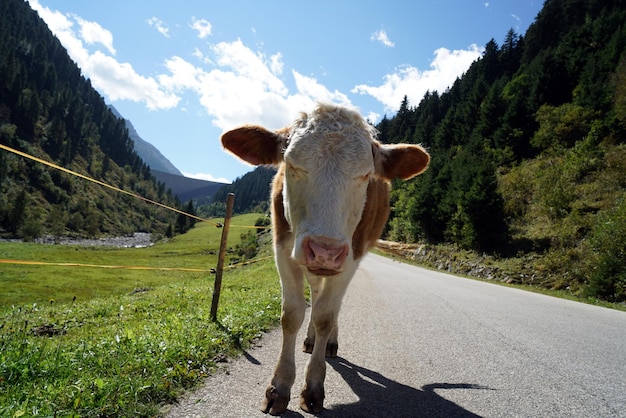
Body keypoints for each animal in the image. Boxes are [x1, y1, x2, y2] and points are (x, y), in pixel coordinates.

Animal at [219, 103, 428, 414]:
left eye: (365, 175)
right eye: (291, 165)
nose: (325, 251)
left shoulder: (350, 258)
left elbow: (326, 316)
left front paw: (313, 386)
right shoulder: (283, 250)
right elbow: (291, 315)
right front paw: (279, 386)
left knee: (330, 306)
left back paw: (328, 342)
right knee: (316, 293)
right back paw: (309, 338)